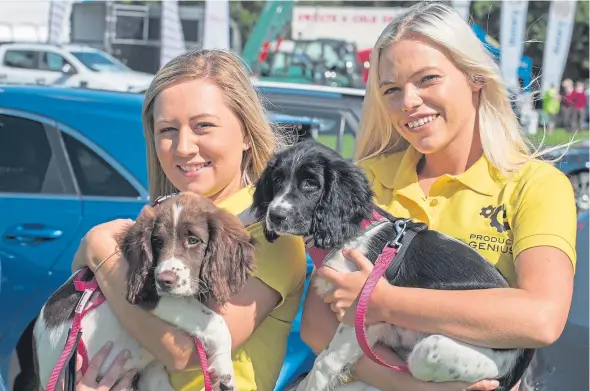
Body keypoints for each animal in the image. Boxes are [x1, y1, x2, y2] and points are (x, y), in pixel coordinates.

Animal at [34, 193, 256, 391]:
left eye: (193, 240)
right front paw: (225, 372)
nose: (164, 281)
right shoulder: (148, 292)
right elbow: (215, 320)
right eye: (157, 241)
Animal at [250, 142, 536, 391]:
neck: (353, 233)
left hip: (437, 353)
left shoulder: (362, 316)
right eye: (277, 180)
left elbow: (323, 364)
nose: (275, 215)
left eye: (310, 184)